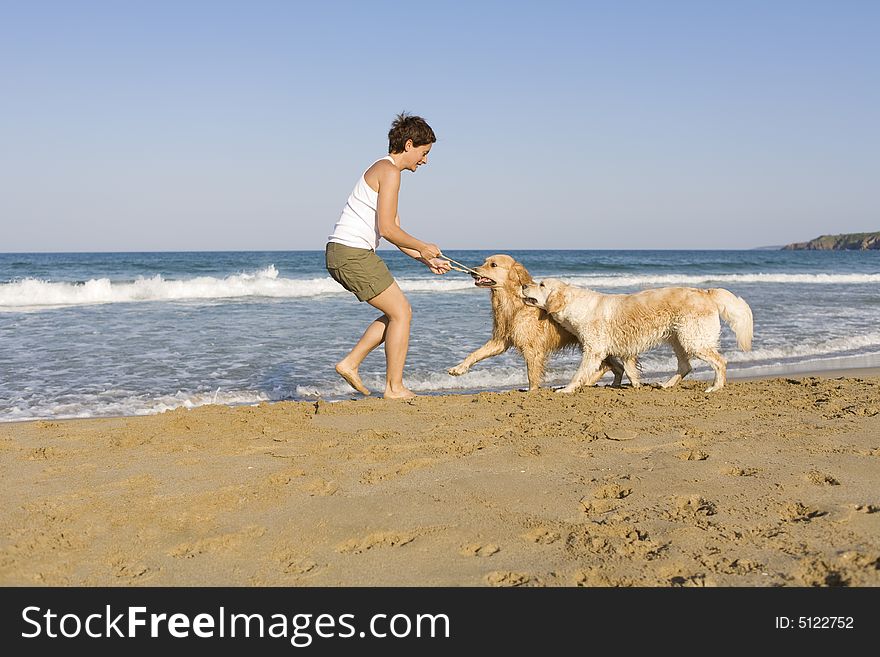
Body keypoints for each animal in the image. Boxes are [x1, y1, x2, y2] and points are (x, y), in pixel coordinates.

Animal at [446, 255, 624, 390]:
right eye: (484, 262)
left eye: (493, 265)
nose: (473, 271)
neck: (514, 303)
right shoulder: (501, 340)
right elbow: (476, 353)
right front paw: (459, 368)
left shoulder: (532, 349)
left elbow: (532, 375)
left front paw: (532, 392)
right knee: (615, 367)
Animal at [520, 276, 752, 392]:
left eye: (541, 284)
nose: (522, 285)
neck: (576, 305)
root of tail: (706, 293)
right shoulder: (623, 349)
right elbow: (629, 370)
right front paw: (636, 385)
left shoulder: (593, 350)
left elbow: (579, 373)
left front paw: (566, 389)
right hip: (678, 340)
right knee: (686, 366)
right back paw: (665, 385)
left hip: (693, 340)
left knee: (720, 362)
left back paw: (716, 387)